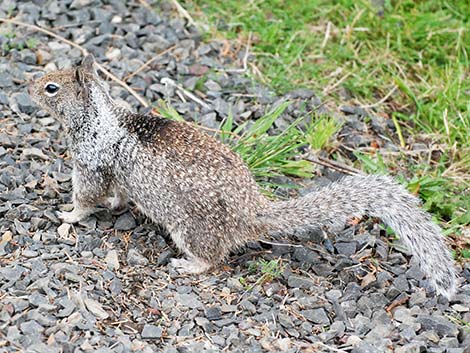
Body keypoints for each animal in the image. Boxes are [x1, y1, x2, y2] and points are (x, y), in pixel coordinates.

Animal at [27, 54, 458, 296]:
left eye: (50, 87)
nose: (25, 86)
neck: (99, 117)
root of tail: (252, 211)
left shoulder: (89, 163)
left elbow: (87, 197)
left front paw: (68, 215)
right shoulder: (112, 171)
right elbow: (116, 192)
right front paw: (112, 206)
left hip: (192, 230)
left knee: (212, 259)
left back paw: (186, 266)